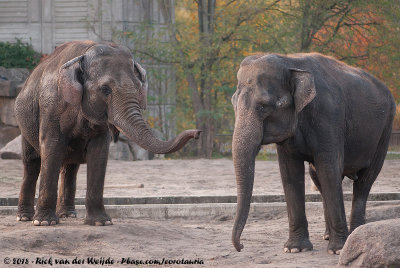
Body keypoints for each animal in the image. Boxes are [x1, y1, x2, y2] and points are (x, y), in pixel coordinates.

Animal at [14, 40, 202, 226]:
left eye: (137, 87)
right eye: (105, 89)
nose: (198, 132)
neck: (84, 53)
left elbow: (99, 153)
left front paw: (101, 222)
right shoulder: (51, 109)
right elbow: (52, 149)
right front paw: (44, 222)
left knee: (70, 168)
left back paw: (67, 215)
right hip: (25, 123)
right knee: (32, 163)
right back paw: (25, 217)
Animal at [230, 53, 396, 254]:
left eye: (264, 106)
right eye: (233, 104)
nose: (241, 246)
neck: (290, 62)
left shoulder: (329, 116)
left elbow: (329, 168)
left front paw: (337, 250)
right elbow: (290, 174)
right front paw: (295, 249)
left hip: (385, 129)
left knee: (365, 180)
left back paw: (356, 232)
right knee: (317, 176)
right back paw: (327, 236)